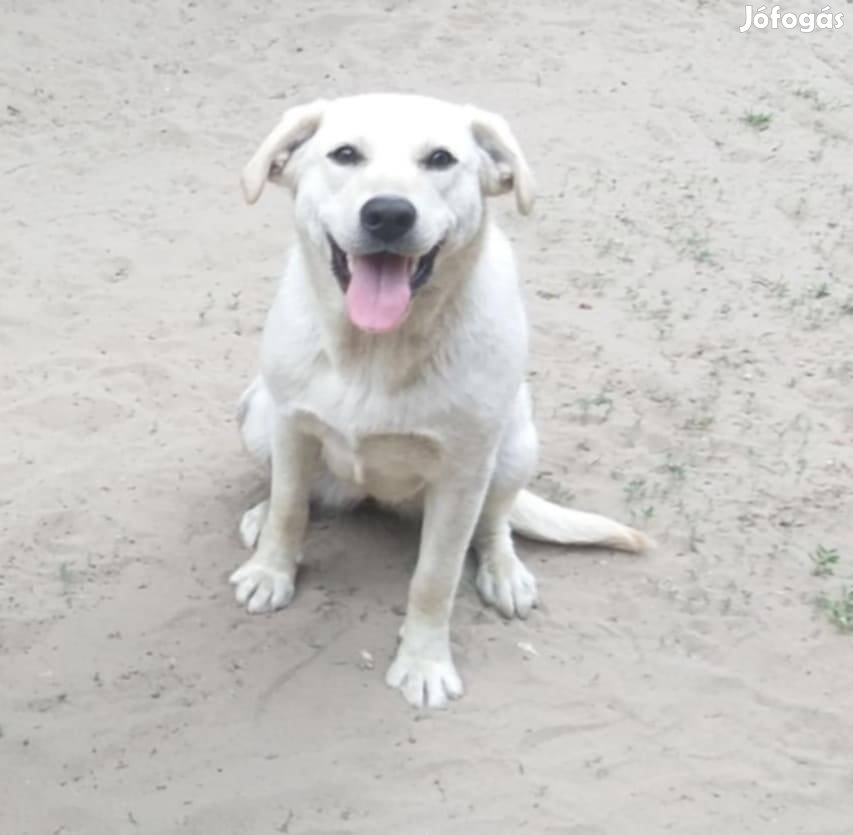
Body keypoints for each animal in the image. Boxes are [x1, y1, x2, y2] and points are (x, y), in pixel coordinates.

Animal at [230, 94, 648, 708]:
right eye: (345, 154)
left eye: (440, 159)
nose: (388, 214)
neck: (374, 351)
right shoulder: (288, 421)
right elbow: (289, 507)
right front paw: (270, 572)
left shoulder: (462, 474)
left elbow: (436, 576)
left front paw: (424, 662)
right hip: (256, 413)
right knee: (305, 493)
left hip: (515, 445)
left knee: (496, 522)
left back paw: (504, 572)